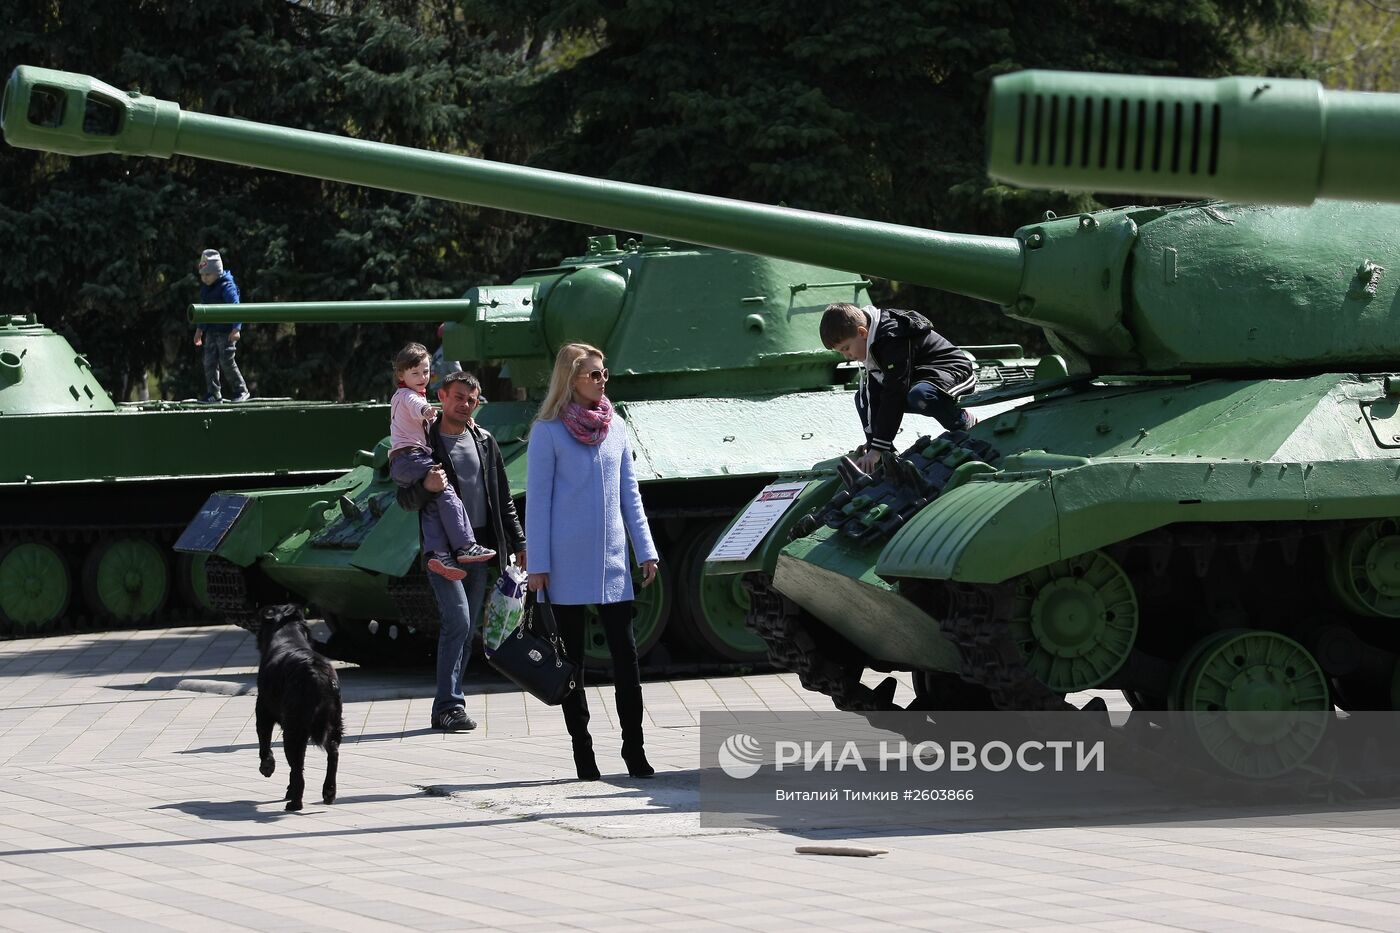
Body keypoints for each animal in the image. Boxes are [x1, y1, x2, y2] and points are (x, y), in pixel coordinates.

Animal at [253, 602, 340, 806]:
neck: (288, 635)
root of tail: (317, 675)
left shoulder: (263, 710)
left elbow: (263, 739)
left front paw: (267, 766)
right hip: (333, 722)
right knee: (332, 752)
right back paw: (328, 792)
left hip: (294, 728)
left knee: (297, 767)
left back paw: (294, 802)